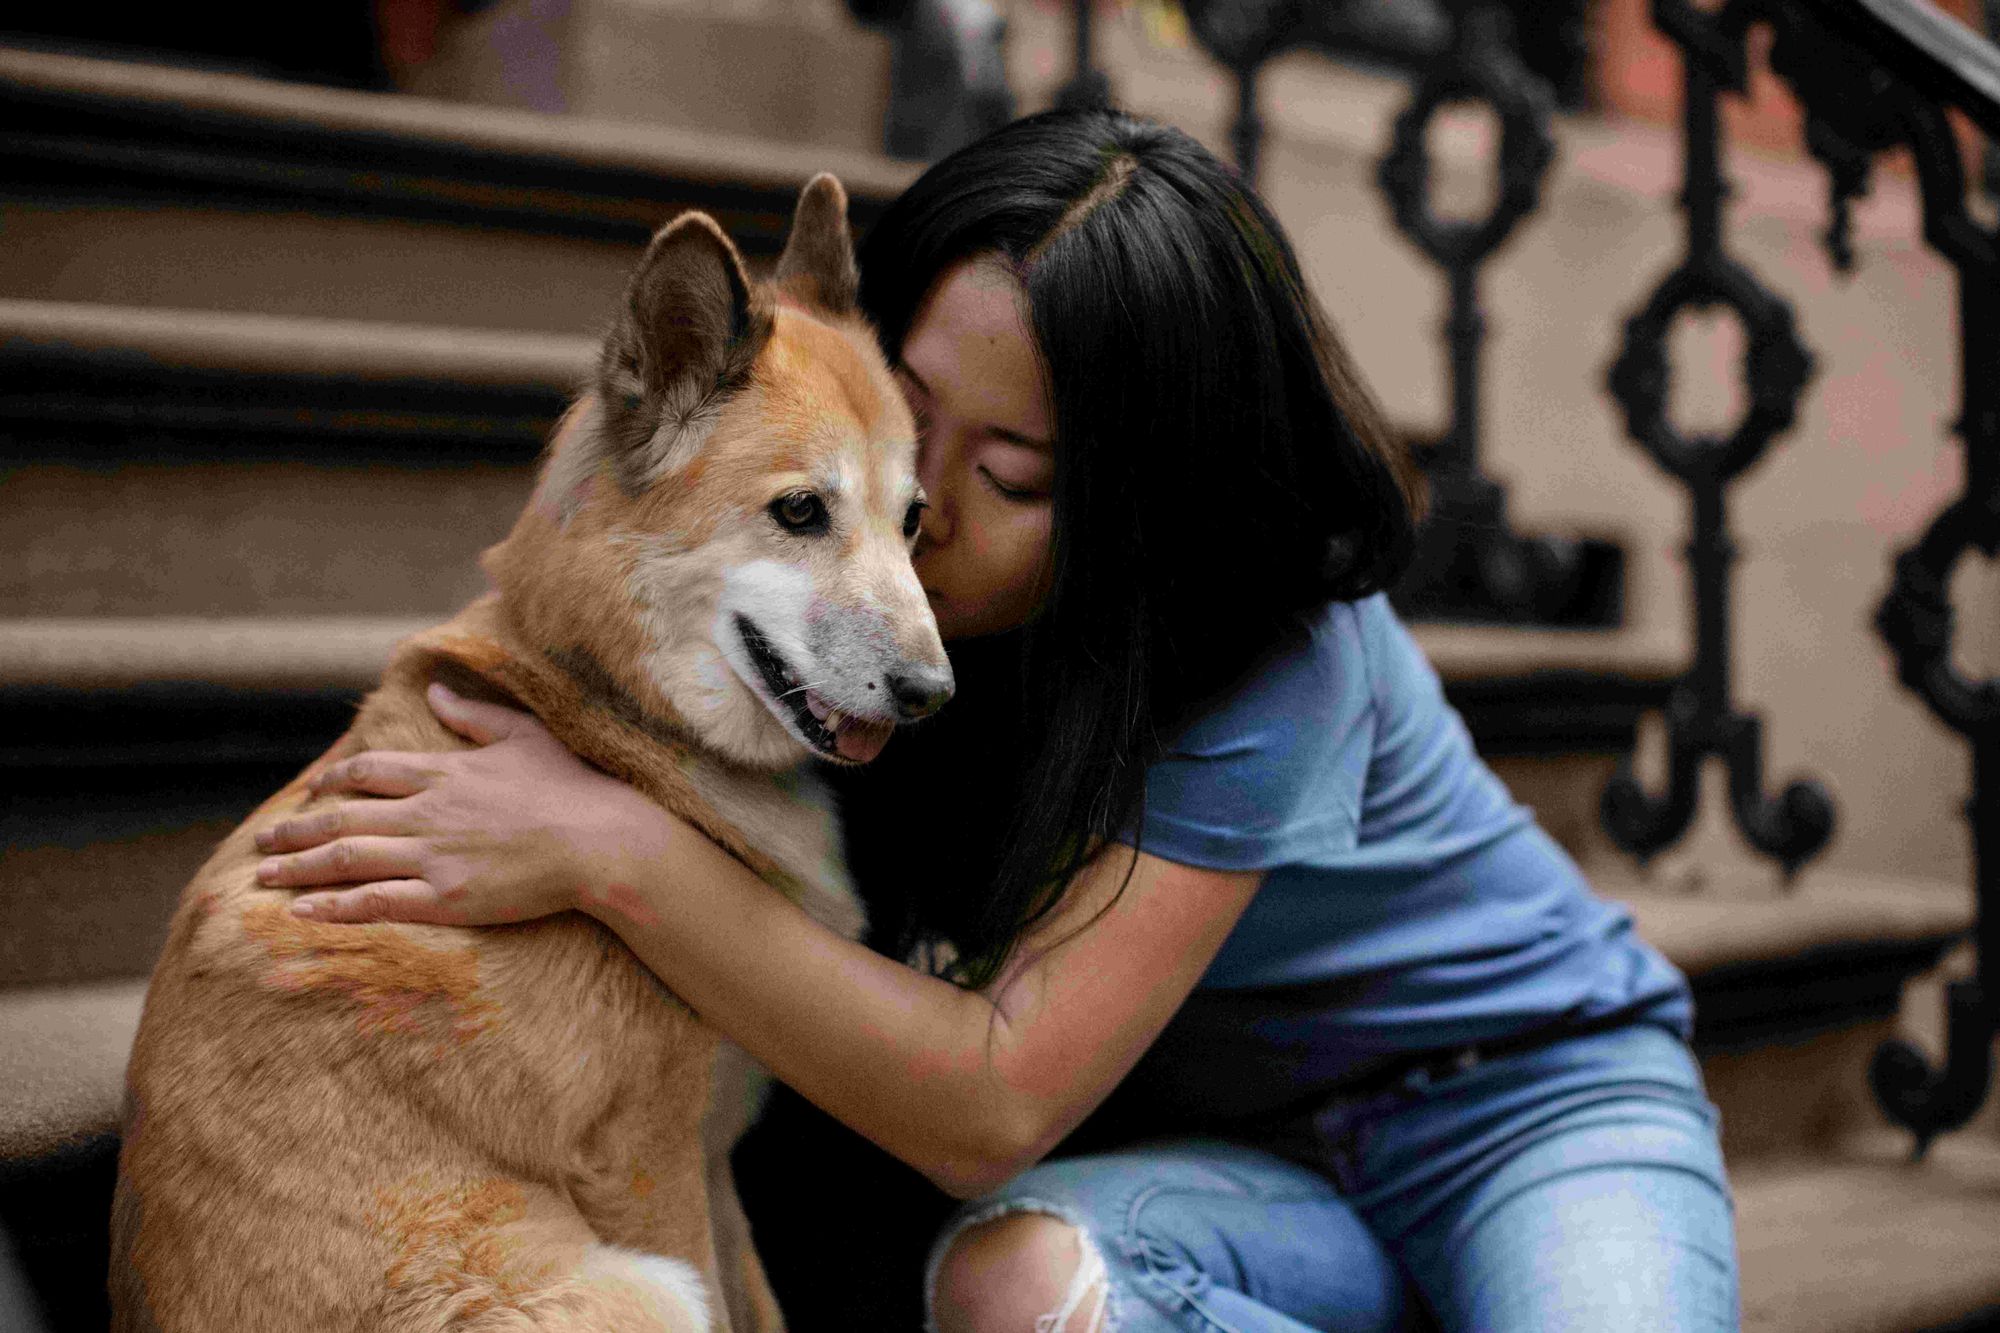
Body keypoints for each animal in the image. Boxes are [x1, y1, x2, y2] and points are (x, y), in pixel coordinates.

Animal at [109, 176, 952, 1328]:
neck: (609, 713)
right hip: (641, 1288)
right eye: (798, 511)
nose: (932, 694)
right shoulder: (649, 1163)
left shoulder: (713, 1160)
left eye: (912, 519)